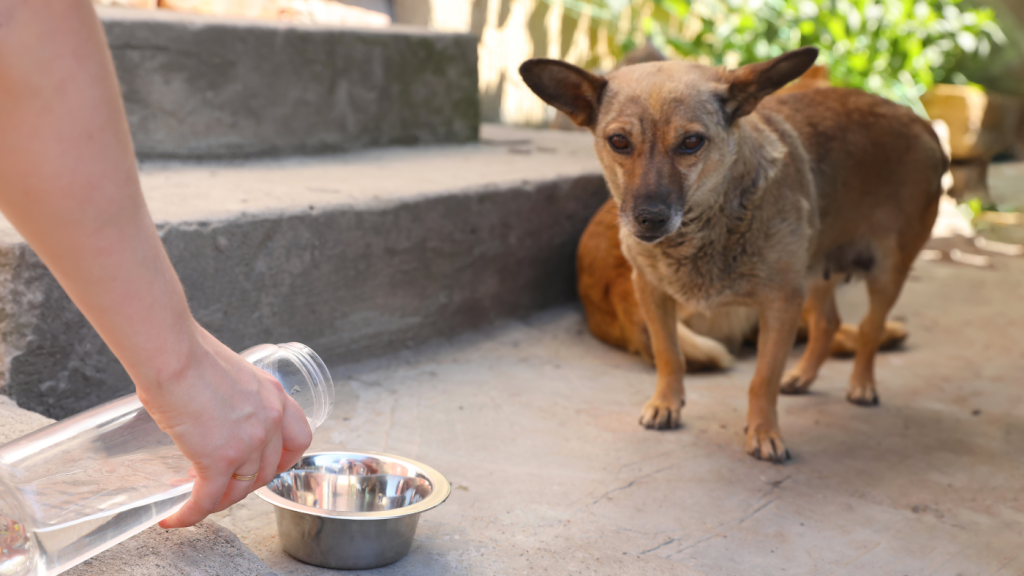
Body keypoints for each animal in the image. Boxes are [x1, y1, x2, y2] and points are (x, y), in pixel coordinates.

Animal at [520, 47, 945, 462]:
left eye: (692, 142)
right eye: (619, 141)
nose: (649, 218)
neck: (707, 226)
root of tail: (917, 120)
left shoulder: (781, 303)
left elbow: (762, 378)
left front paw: (764, 432)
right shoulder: (652, 293)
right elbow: (669, 355)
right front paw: (666, 404)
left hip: (885, 272)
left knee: (870, 328)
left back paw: (862, 384)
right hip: (816, 271)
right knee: (828, 323)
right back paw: (803, 377)